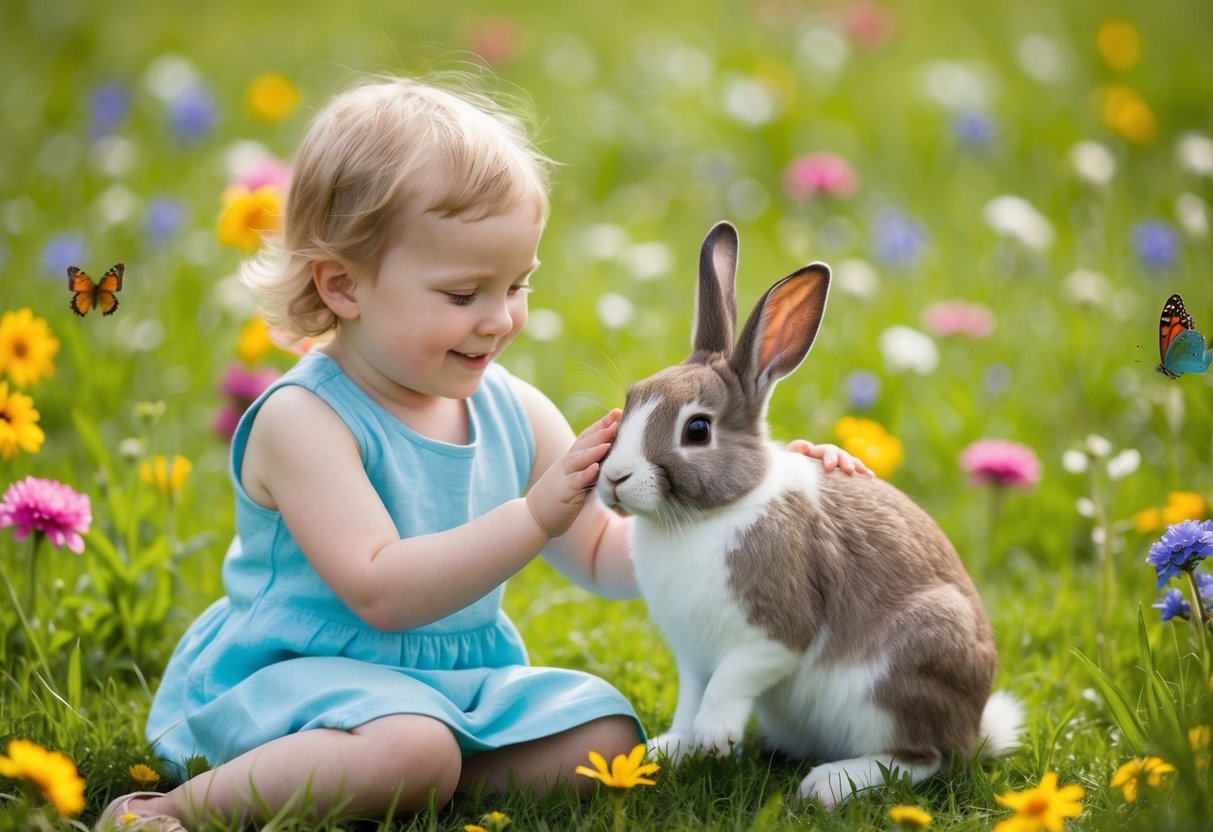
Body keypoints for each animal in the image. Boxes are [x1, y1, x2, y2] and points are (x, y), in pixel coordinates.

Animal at [596, 221, 1023, 808]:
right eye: (632, 400)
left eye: (697, 430)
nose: (614, 478)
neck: (718, 512)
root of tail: (972, 727)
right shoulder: (692, 655)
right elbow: (691, 699)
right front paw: (669, 750)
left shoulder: (773, 632)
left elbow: (733, 679)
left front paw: (715, 738)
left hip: (901, 677)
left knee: (922, 759)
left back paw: (829, 784)